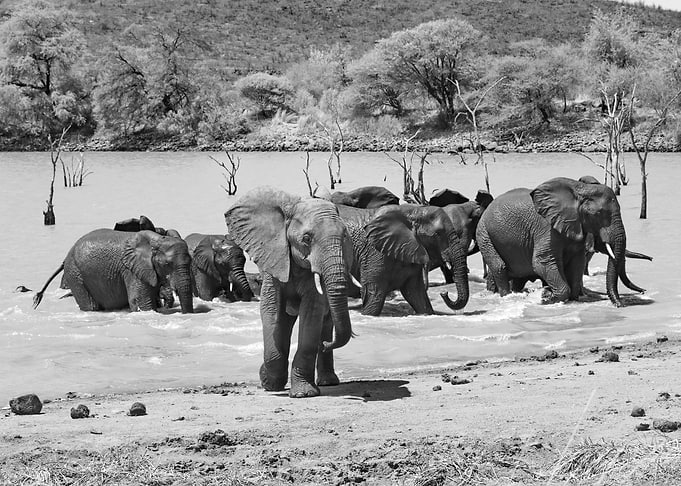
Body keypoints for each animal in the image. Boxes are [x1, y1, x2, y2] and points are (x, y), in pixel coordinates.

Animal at [33, 229, 194, 313]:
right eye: (167, 264)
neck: (158, 239)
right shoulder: (131, 270)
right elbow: (141, 302)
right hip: (75, 272)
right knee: (90, 306)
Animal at [224, 187, 354, 398]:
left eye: (345, 237)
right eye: (306, 239)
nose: (327, 344)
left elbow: (311, 313)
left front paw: (303, 394)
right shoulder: (273, 261)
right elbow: (270, 310)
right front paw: (269, 384)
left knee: (325, 322)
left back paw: (327, 380)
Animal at [337, 203, 470, 316]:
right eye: (438, 234)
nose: (444, 293)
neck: (413, 211)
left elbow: (416, 293)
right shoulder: (374, 252)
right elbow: (373, 295)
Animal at [476, 177, 645, 307]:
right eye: (598, 214)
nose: (620, 305)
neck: (580, 190)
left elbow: (577, 262)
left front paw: (564, 298)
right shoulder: (546, 228)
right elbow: (542, 262)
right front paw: (546, 296)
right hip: (483, 233)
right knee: (500, 267)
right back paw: (507, 296)